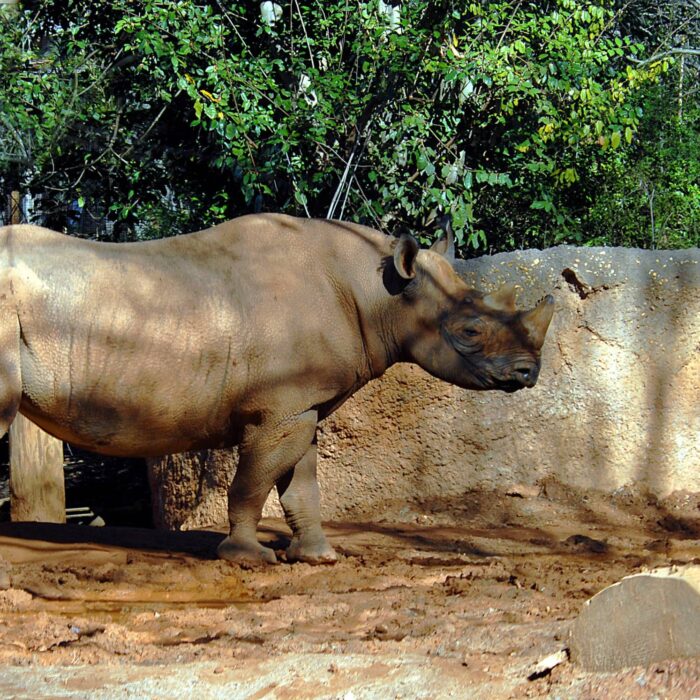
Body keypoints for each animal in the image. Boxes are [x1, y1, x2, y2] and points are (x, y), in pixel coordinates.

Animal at [0, 214, 553, 564]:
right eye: (470, 332)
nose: (529, 373)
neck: (378, 293)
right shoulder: (280, 405)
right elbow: (253, 482)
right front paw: (248, 558)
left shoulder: (302, 404)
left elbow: (301, 481)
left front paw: (319, 558)